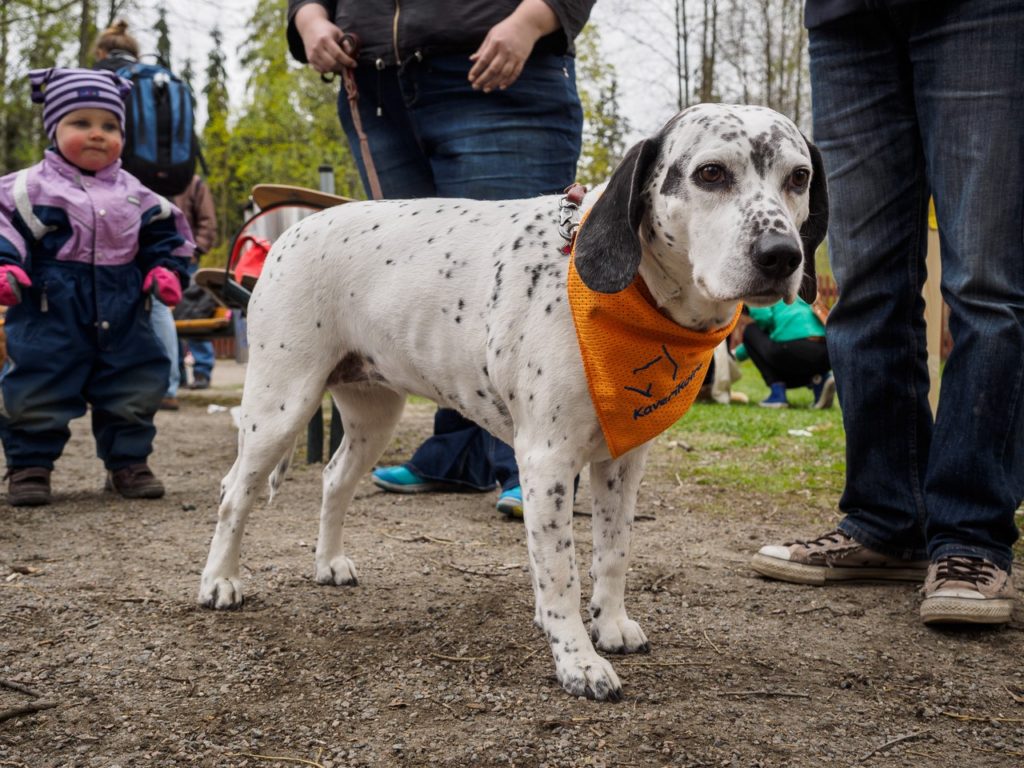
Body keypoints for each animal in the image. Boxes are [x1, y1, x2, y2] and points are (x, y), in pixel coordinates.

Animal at [198, 104, 828, 701]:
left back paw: (327, 562)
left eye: (798, 177)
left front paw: (610, 624)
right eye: (710, 173)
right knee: (233, 492)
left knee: (333, 479)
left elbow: (613, 551)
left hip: (372, 415)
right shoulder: (546, 461)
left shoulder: (623, 460)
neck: (633, 300)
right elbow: (560, 574)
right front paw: (577, 661)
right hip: (280, 407)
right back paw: (219, 581)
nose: (781, 255)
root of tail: (294, 232)